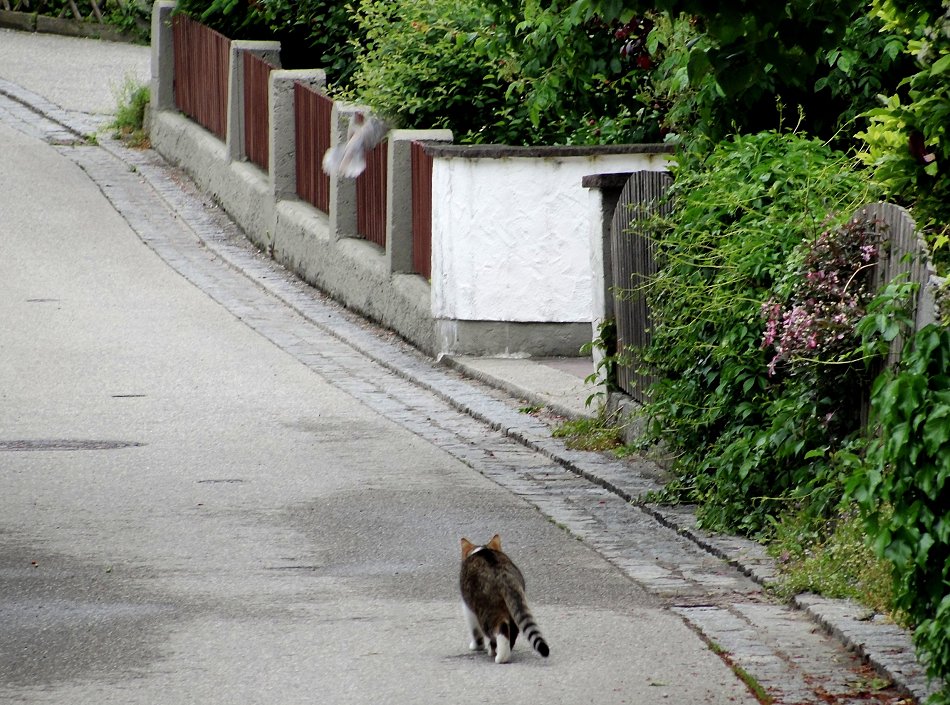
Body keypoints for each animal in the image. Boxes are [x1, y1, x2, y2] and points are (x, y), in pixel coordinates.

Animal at [460, 536, 552, 664]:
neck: (482, 550)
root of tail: (502, 574)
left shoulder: (468, 608)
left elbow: (475, 630)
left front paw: (476, 646)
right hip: (513, 606)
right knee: (513, 630)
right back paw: (504, 650)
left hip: (486, 610)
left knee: (500, 628)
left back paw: (500, 656)